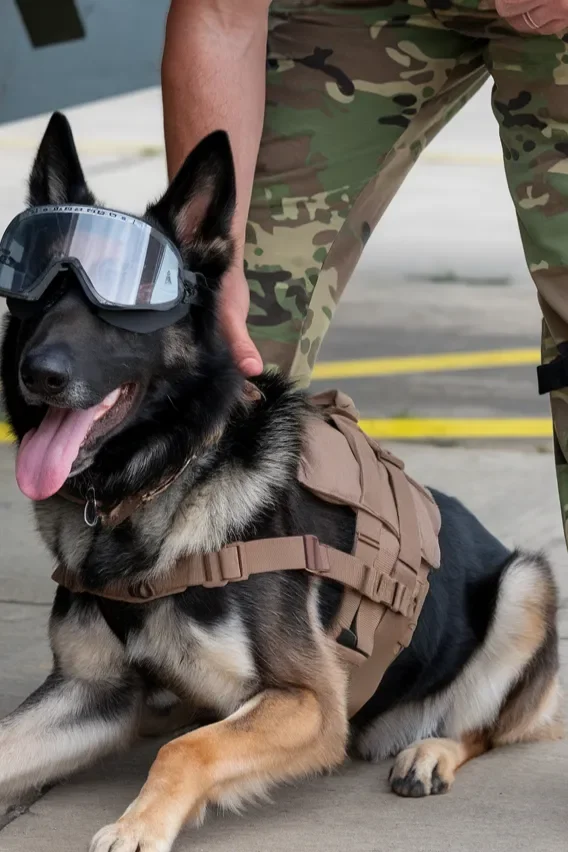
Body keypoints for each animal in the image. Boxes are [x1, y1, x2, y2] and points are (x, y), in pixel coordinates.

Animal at [0, 113, 560, 852]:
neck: (161, 489)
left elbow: (187, 750)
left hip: (527, 584)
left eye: (122, 305)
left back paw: (430, 752)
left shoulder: (309, 702)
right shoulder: (89, 694)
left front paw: (136, 826)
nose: (38, 374)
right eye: (34, 292)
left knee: (485, 727)